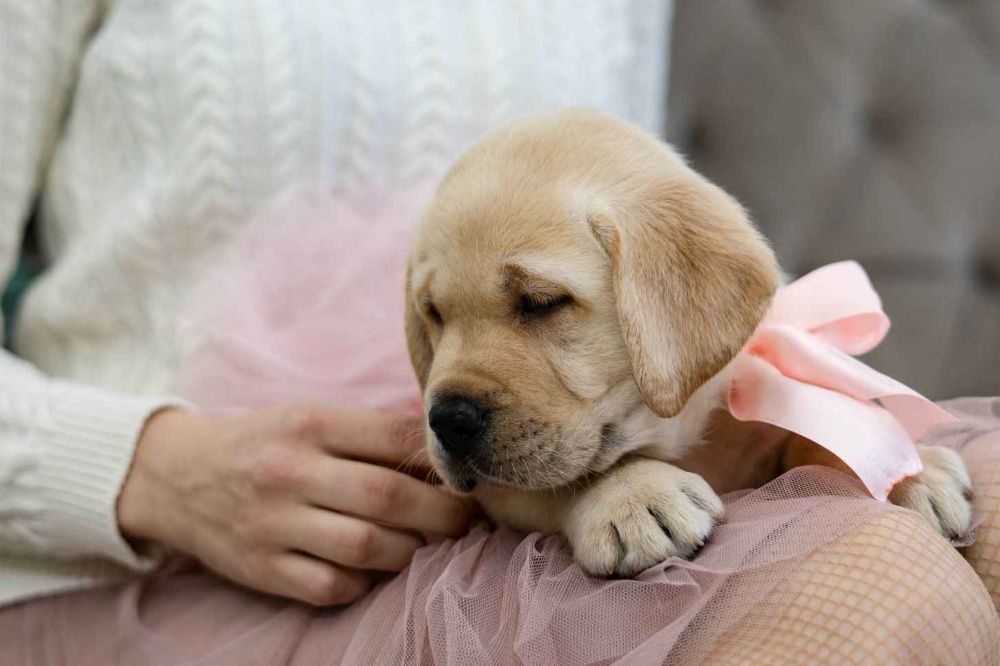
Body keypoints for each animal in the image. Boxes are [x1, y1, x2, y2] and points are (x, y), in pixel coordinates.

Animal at [402, 109, 972, 576]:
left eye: (541, 302)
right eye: (434, 314)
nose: (448, 420)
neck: (677, 432)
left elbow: (818, 426)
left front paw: (909, 470)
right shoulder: (497, 499)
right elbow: (562, 481)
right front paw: (631, 493)